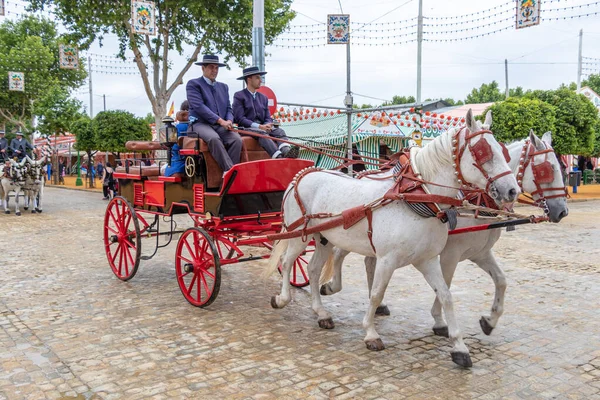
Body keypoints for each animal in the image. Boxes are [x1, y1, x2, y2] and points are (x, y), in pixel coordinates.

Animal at [264, 108, 520, 366]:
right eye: (483, 151)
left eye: (502, 150)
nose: (512, 190)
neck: (418, 198)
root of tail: (301, 176)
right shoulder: (388, 259)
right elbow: (377, 293)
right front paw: (371, 333)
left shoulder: (427, 259)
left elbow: (446, 295)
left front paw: (459, 346)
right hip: (300, 236)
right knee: (287, 261)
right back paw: (282, 298)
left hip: (324, 238)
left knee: (314, 269)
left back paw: (321, 312)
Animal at [318, 130, 568, 340]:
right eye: (547, 169)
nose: (562, 211)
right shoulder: (450, 253)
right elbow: (446, 285)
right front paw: (439, 321)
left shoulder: (479, 252)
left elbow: (501, 281)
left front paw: (490, 320)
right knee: (339, 253)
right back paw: (331, 288)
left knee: (368, 262)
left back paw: (376, 304)